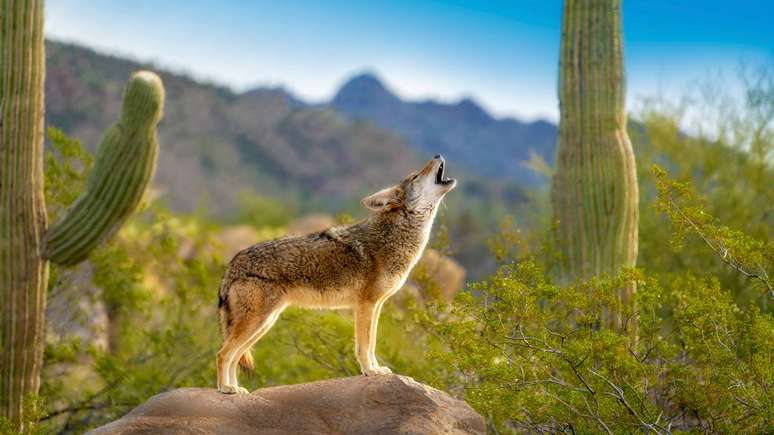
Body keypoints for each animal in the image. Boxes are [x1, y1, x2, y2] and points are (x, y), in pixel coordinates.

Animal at [216, 155, 456, 394]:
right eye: (415, 176)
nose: (437, 155)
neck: (393, 238)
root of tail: (233, 264)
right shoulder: (366, 305)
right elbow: (364, 345)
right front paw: (370, 371)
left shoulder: (376, 305)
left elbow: (372, 343)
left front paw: (377, 369)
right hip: (257, 323)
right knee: (222, 354)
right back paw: (225, 388)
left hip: (264, 324)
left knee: (234, 356)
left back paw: (236, 389)